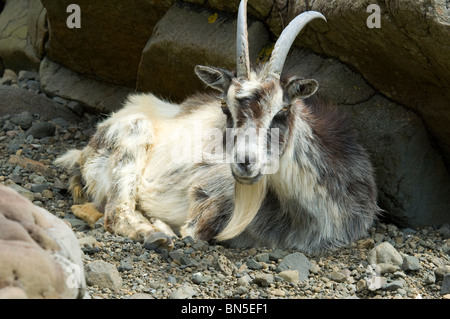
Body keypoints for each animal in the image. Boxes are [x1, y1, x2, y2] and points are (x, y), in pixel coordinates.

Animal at [57, 0, 380, 255]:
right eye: (225, 106)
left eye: (283, 110)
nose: (245, 163)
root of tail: (80, 155)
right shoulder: (207, 195)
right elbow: (192, 232)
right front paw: (164, 224)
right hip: (131, 136)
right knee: (116, 213)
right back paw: (156, 234)